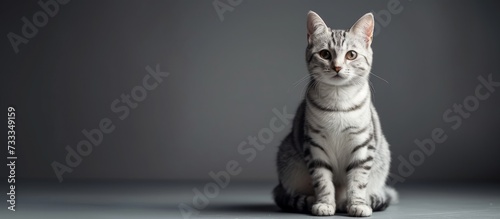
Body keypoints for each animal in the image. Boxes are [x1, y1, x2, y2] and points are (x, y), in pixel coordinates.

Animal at [274, 11, 398, 216]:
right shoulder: (315, 146)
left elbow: (358, 181)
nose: (337, 67)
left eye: (351, 55)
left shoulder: (362, 145)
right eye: (325, 54)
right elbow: (323, 181)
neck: (339, 101)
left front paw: (357, 204)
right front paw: (325, 204)